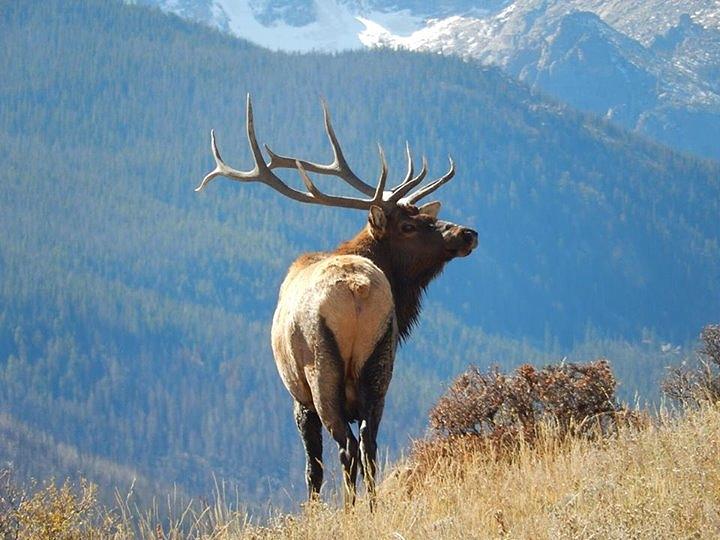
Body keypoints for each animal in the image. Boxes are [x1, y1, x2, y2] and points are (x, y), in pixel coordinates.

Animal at [197, 95, 478, 504]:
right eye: (408, 225)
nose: (468, 233)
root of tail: (357, 289)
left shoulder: (298, 396)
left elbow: (312, 467)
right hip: (380, 365)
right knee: (369, 444)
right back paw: (371, 507)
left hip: (321, 371)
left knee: (346, 448)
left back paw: (350, 508)